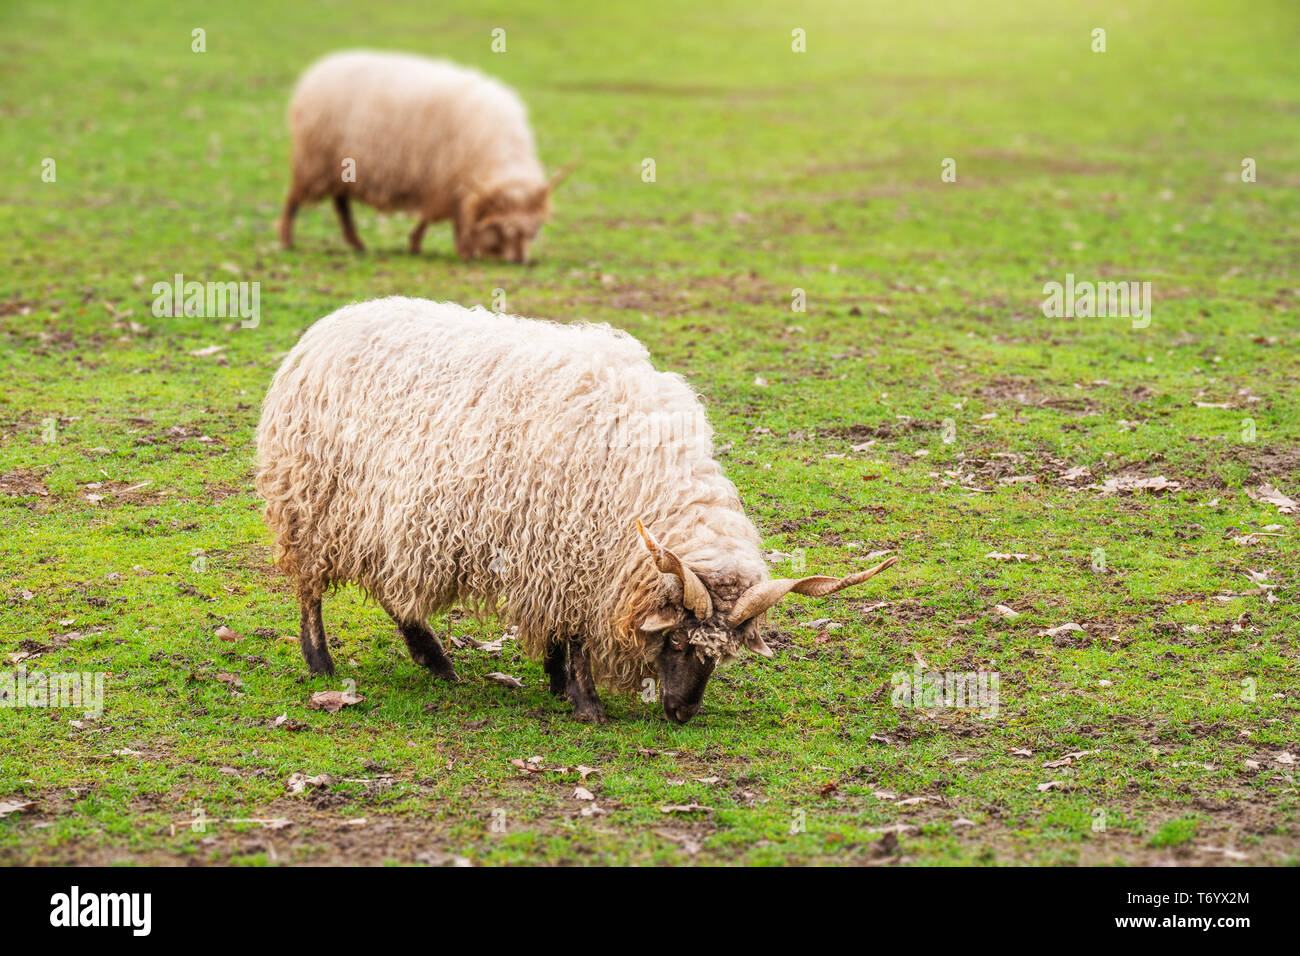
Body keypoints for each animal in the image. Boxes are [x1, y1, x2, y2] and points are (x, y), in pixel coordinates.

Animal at [255, 297, 897, 723]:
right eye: (677, 642)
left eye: (721, 655)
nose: (681, 714)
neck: (648, 481)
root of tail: (328, 327)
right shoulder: (571, 552)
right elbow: (578, 633)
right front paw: (585, 701)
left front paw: (557, 678)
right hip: (311, 503)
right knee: (311, 587)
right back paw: (322, 662)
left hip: (378, 517)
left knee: (393, 589)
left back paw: (433, 659)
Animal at [277, 51, 567, 262]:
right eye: (500, 229)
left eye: (534, 230)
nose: (519, 261)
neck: (498, 155)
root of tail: (320, 69)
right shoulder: (446, 179)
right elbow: (446, 216)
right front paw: (461, 250)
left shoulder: (450, 183)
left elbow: (438, 216)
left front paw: (419, 243)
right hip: (314, 160)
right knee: (294, 198)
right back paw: (287, 240)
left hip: (339, 167)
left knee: (340, 204)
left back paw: (356, 243)